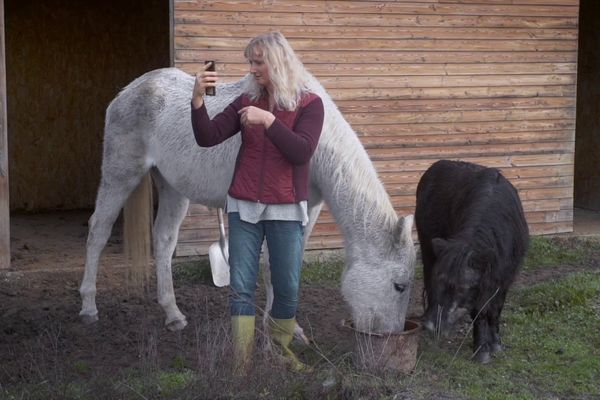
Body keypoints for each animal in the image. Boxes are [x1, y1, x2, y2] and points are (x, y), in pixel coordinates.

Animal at [78, 67, 418, 332]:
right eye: (399, 285)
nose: (389, 334)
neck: (316, 145)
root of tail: (127, 92)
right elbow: (270, 262)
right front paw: (275, 325)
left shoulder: (309, 207)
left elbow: (290, 262)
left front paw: (288, 325)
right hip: (121, 175)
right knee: (98, 231)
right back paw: (89, 307)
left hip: (173, 188)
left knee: (163, 240)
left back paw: (173, 315)